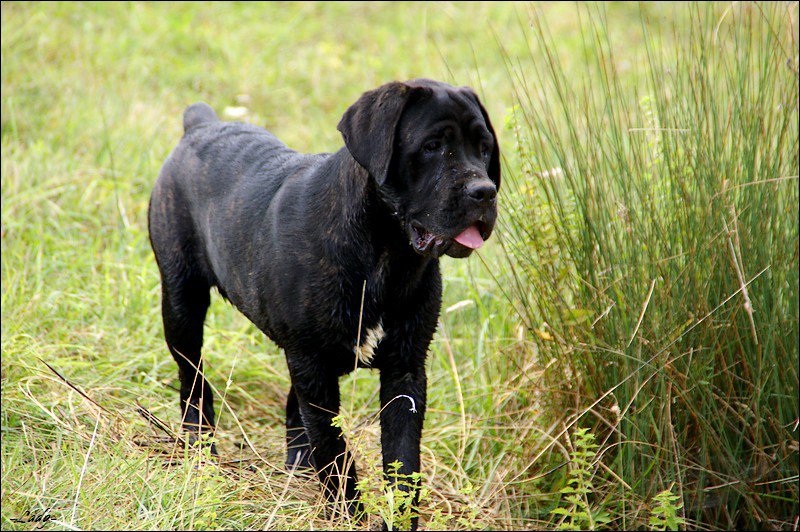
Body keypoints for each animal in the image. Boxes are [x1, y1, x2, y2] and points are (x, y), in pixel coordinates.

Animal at [148, 79, 500, 528]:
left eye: (485, 149)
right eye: (433, 146)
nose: (484, 191)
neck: (386, 256)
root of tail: (199, 124)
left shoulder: (404, 369)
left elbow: (403, 462)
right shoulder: (313, 362)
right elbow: (336, 451)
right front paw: (347, 514)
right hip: (182, 303)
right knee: (193, 378)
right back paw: (200, 447)